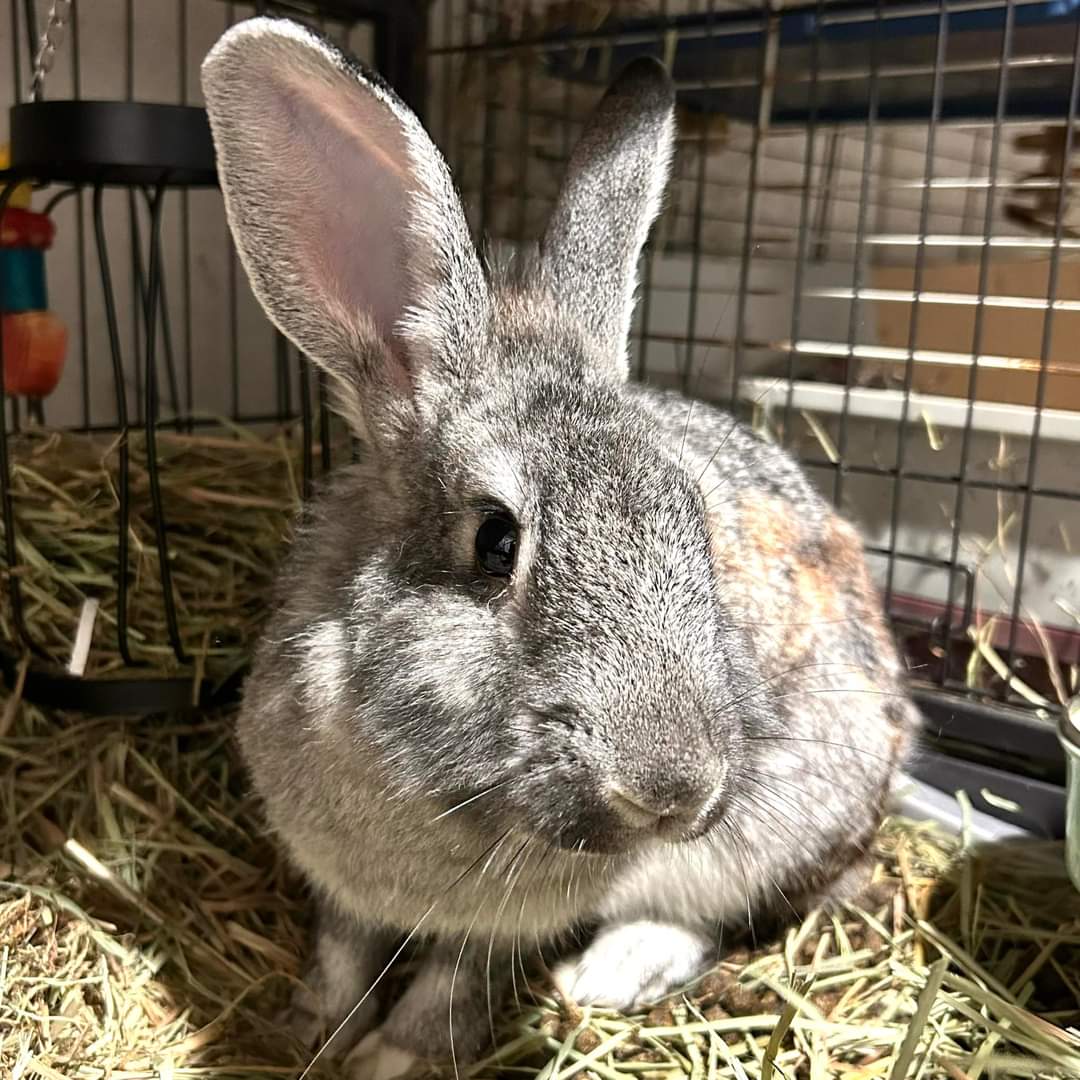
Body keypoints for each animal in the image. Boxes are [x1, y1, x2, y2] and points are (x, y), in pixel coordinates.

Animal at [201, 17, 918, 1080]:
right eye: (496, 541)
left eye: (696, 526)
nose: (672, 789)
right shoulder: (336, 886)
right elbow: (340, 954)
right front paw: (306, 1032)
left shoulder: (499, 930)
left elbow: (450, 986)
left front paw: (392, 1059)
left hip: (786, 818)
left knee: (719, 913)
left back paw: (611, 970)